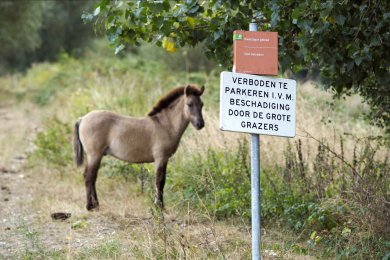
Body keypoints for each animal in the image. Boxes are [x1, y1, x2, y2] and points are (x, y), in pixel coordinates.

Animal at [72, 84, 204, 210]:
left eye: (201, 104)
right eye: (189, 104)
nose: (200, 124)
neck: (165, 125)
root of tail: (82, 119)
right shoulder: (161, 158)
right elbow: (160, 181)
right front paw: (159, 206)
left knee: (92, 177)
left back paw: (96, 205)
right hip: (94, 155)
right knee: (89, 177)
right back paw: (90, 206)